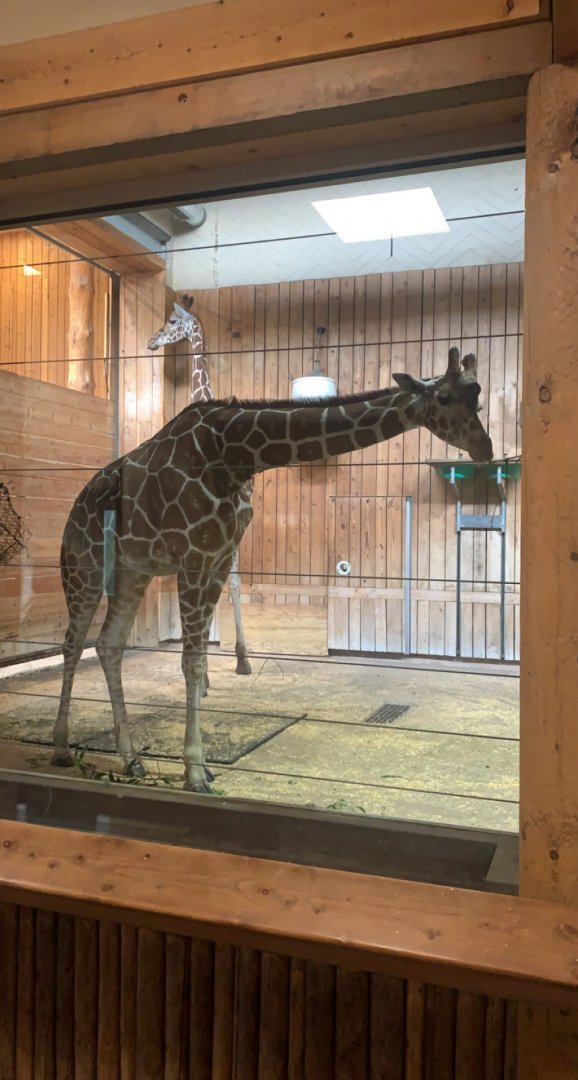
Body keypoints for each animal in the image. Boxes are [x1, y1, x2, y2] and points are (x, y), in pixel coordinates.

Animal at [52, 346, 492, 792]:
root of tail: (74, 507)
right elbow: (192, 662)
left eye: (478, 398)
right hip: (85, 567)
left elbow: (199, 660)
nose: (485, 447)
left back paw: (131, 760)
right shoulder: (194, 556)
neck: (236, 455)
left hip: (133, 572)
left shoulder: (218, 558)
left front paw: (199, 767)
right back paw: (62, 748)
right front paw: (195, 772)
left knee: (109, 645)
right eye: (443, 398)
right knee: (73, 643)